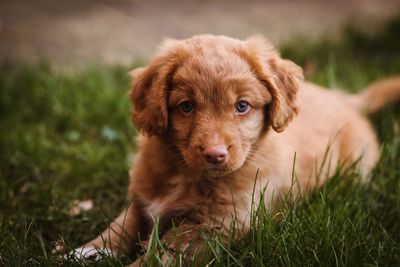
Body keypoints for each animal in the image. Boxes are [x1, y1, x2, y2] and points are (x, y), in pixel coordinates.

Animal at [70, 35, 400, 266]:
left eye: (242, 106)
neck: (184, 174)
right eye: (186, 106)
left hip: (356, 166)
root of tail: (345, 99)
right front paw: (88, 251)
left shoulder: (215, 225)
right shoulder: (143, 196)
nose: (215, 154)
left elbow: (162, 255)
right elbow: (121, 225)